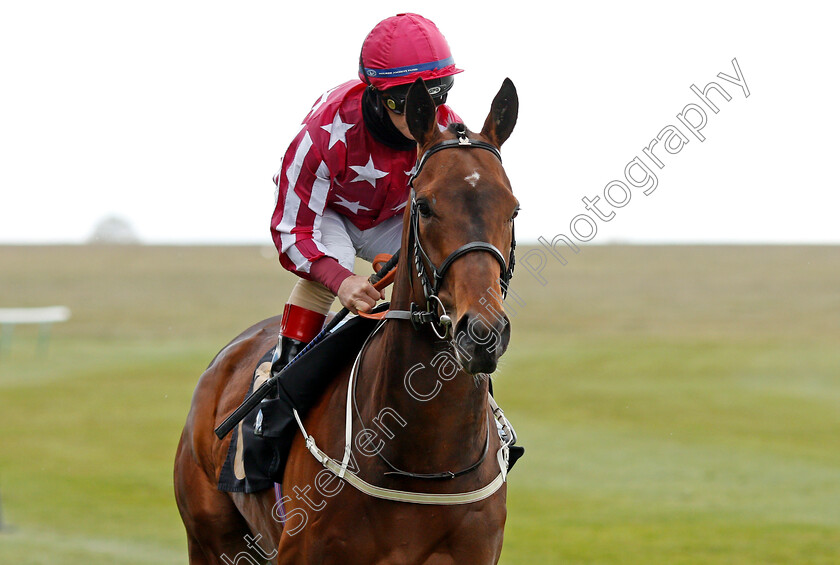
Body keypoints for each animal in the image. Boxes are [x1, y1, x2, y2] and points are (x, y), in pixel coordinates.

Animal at [175, 78, 520, 564]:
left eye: (513, 209)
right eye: (425, 206)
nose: (482, 333)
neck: (424, 462)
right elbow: (296, 234)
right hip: (209, 539)